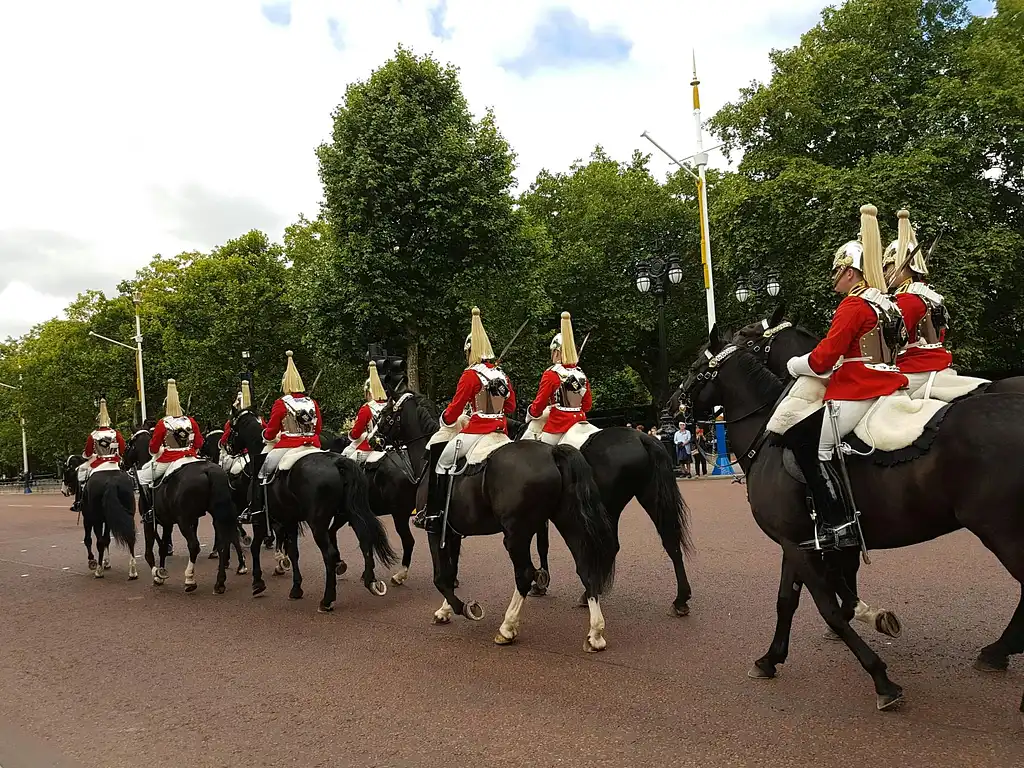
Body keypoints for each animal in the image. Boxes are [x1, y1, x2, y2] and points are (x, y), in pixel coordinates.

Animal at [226, 409, 397, 614]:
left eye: (231, 427)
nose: (226, 447)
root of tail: (338, 461)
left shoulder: (261, 518)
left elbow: (256, 547)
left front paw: (258, 583)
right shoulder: (289, 520)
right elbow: (293, 552)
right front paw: (296, 588)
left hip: (318, 523)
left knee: (329, 554)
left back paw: (327, 599)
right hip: (351, 514)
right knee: (364, 540)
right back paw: (371, 582)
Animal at [374, 393, 618, 651]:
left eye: (385, 414)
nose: (373, 439)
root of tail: (553, 453)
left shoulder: (434, 530)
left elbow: (440, 577)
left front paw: (465, 608)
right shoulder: (452, 532)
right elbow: (451, 572)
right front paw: (444, 610)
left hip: (516, 535)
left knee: (525, 574)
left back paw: (507, 628)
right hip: (566, 522)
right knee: (585, 567)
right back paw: (595, 634)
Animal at [671, 325, 1024, 716]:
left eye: (695, 367)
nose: (669, 408)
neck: (772, 438)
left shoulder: (801, 544)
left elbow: (828, 609)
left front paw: (881, 677)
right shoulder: (800, 541)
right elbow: (787, 600)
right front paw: (770, 659)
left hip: (1003, 534)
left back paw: (999, 654)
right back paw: (998, 652)